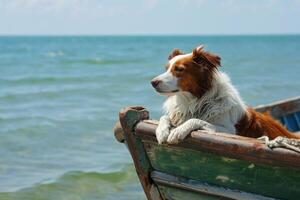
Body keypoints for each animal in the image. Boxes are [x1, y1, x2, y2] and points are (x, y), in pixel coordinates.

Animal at [152, 45, 300, 144]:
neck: (196, 101)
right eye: (167, 69)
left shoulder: (231, 132)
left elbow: (196, 120)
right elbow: (164, 117)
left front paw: (178, 131)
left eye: (179, 69)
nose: (153, 82)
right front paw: (161, 131)